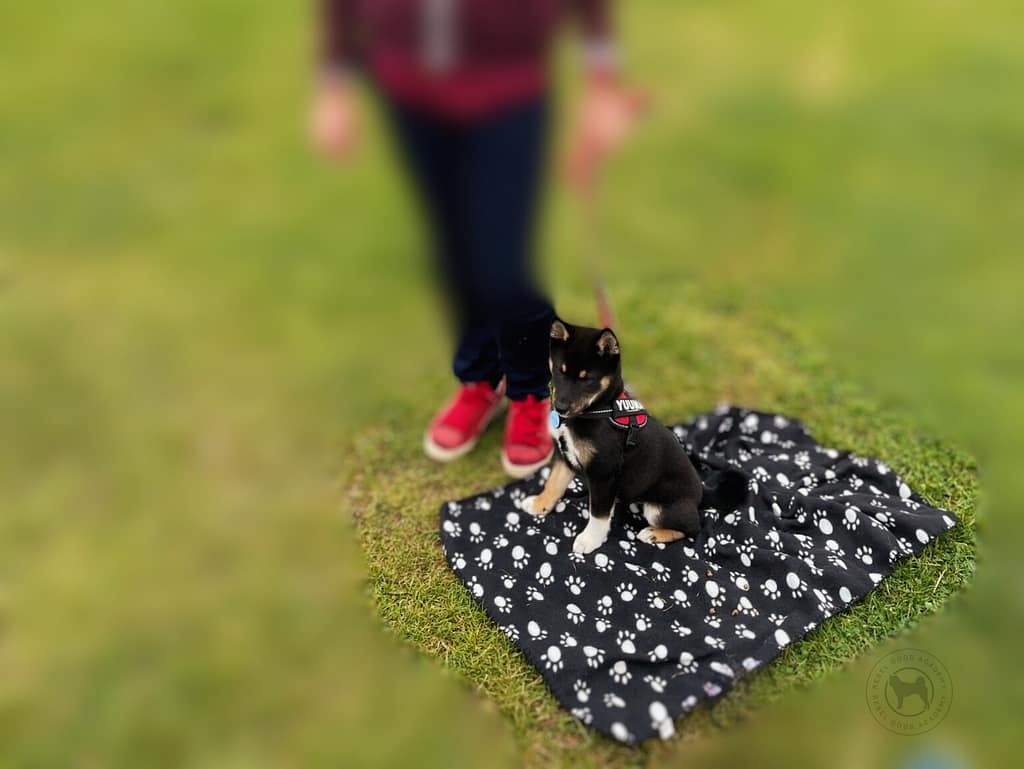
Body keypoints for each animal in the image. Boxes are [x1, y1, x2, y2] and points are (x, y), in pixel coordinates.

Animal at [521, 318, 746, 554]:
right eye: (559, 371)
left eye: (587, 379)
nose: (560, 407)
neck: (595, 411)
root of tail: (701, 492)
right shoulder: (564, 456)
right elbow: (553, 484)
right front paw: (538, 504)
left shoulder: (604, 474)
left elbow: (598, 514)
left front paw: (589, 540)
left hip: (659, 509)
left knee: (693, 527)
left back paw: (653, 534)